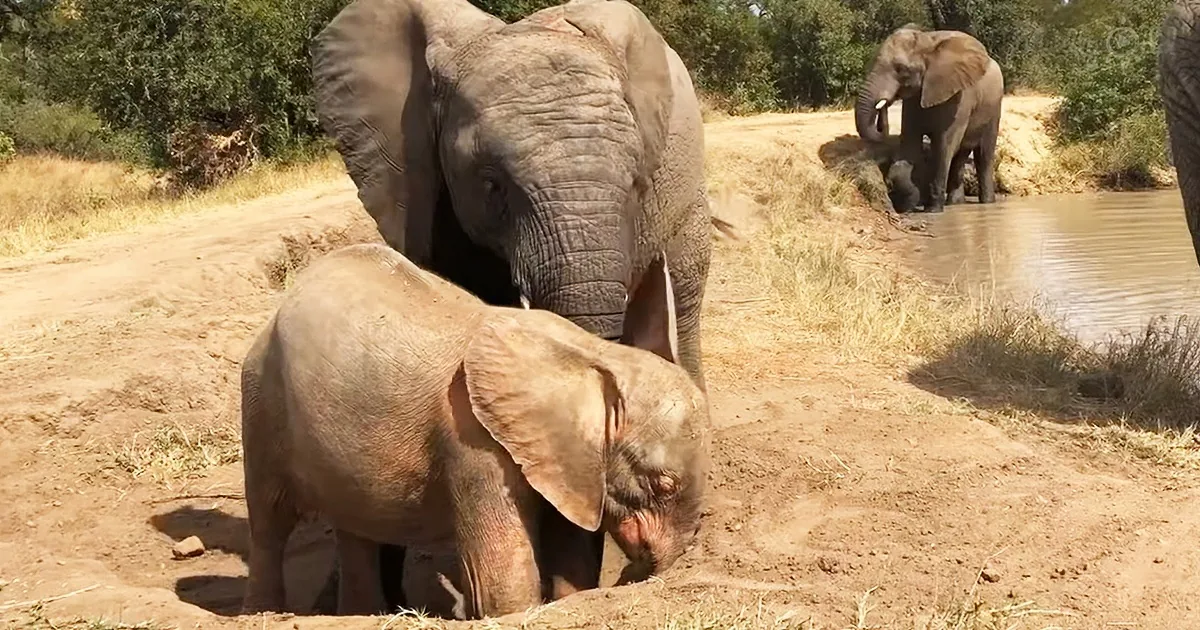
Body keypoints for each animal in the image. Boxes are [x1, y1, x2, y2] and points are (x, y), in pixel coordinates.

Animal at [239, 243, 710, 619]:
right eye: (661, 484)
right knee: (269, 522)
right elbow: (504, 584)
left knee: (356, 532)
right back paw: (263, 613)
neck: (589, 356)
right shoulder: (475, 446)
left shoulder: (568, 456)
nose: (634, 572)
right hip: (261, 399)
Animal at [855, 24, 1004, 213]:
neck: (927, 41)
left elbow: (944, 145)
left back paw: (987, 202)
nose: (884, 104)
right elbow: (910, 142)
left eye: (902, 69)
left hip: (994, 106)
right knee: (960, 156)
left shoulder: (960, 97)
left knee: (984, 154)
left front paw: (933, 210)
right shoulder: (913, 99)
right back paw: (955, 203)